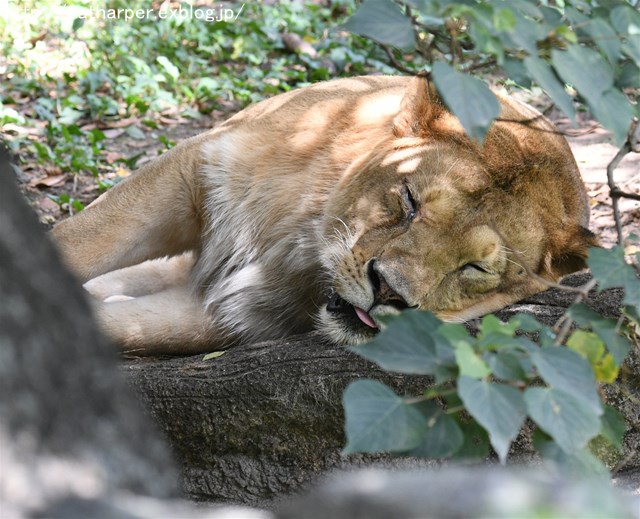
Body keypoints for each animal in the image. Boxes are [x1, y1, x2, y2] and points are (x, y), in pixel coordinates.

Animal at [52, 75, 596, 356]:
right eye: (409, 200)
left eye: (475, 268)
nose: (388, 293)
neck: (301, 250)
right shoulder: (198, 167)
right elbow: (81, 238)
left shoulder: (234, 314)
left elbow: (127, 326)